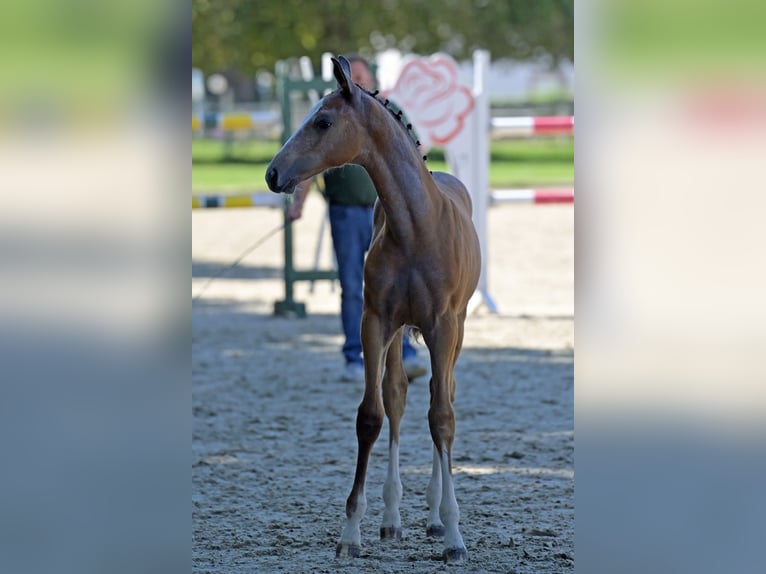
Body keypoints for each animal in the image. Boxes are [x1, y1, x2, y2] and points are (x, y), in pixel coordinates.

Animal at [265, 55, 481, 563]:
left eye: (323, 121)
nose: (272, 173)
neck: (416, 227)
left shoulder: (443, 326)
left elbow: (442, 417)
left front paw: (455, 536)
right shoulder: (375, 322)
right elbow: (372, 416)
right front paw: (351, 533)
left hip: (457, 330)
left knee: (443, 396)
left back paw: (435, 517)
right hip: (400, 330)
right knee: (398, 396)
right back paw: (393, 518)